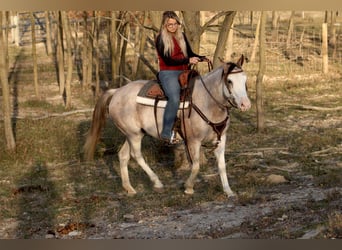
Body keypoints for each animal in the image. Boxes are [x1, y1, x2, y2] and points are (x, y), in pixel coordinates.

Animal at [83, 54, 251, 197]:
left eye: (245, 80)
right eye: (229, 81)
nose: (246, 104)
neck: (207, 101)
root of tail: (117, 91)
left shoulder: (221, 139)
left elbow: (222, 166)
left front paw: (228, 191)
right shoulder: (193, 141)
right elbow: (196, 165)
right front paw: (188, 187)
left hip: (133, 134)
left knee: (123, 155)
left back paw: (129, 188)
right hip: (134, 135)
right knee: (136, 155)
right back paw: (156, 182)